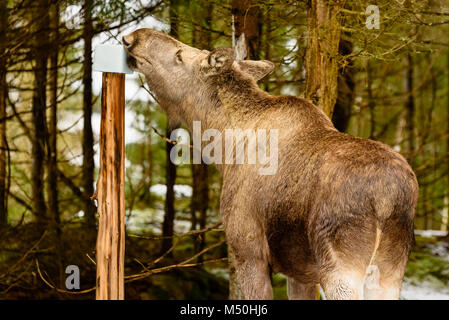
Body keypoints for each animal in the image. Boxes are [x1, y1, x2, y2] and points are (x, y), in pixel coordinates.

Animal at [121, 28, 416, 300]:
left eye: (179, 55)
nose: (133, 37)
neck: (223, 149)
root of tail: (389, 199)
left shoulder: (248, 251)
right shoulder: (300, 272)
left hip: (340, 266)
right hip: (390, 270)